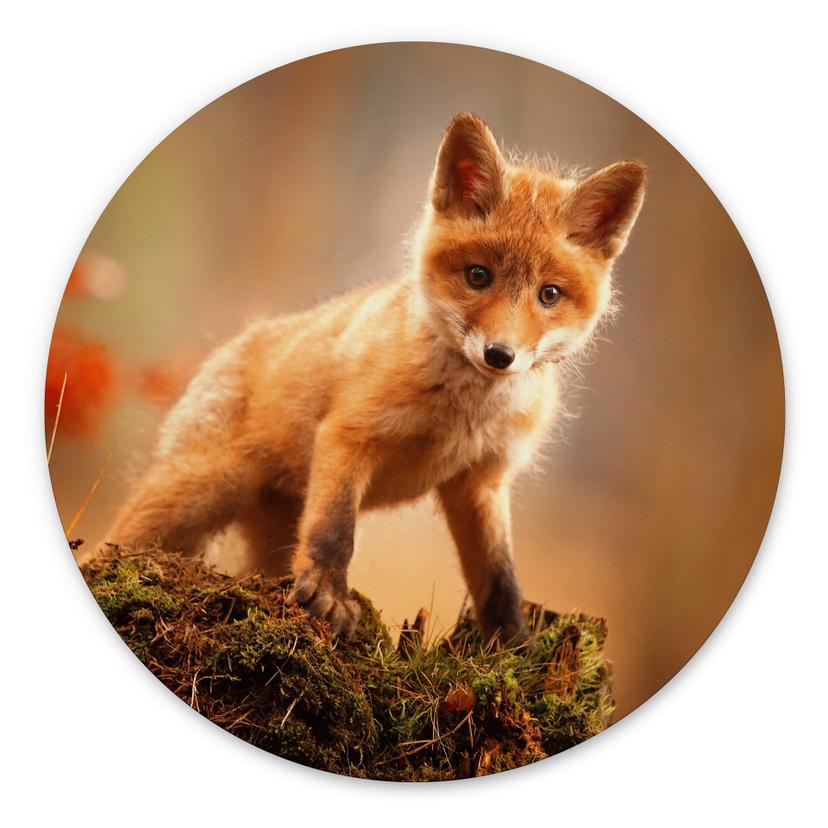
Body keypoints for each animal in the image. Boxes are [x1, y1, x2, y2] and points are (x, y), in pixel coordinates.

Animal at [102, 113, 646, 642]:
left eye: (549, 294)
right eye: (478, 276)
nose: (499, 355)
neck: (461, 413)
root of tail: (234, 343)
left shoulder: (480, 481)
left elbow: (499, 579)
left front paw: (511, 647)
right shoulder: (349, 436)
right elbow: (335, 532)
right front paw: (328, 596)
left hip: (267, 529)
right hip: (196, 493)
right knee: (110, 545)